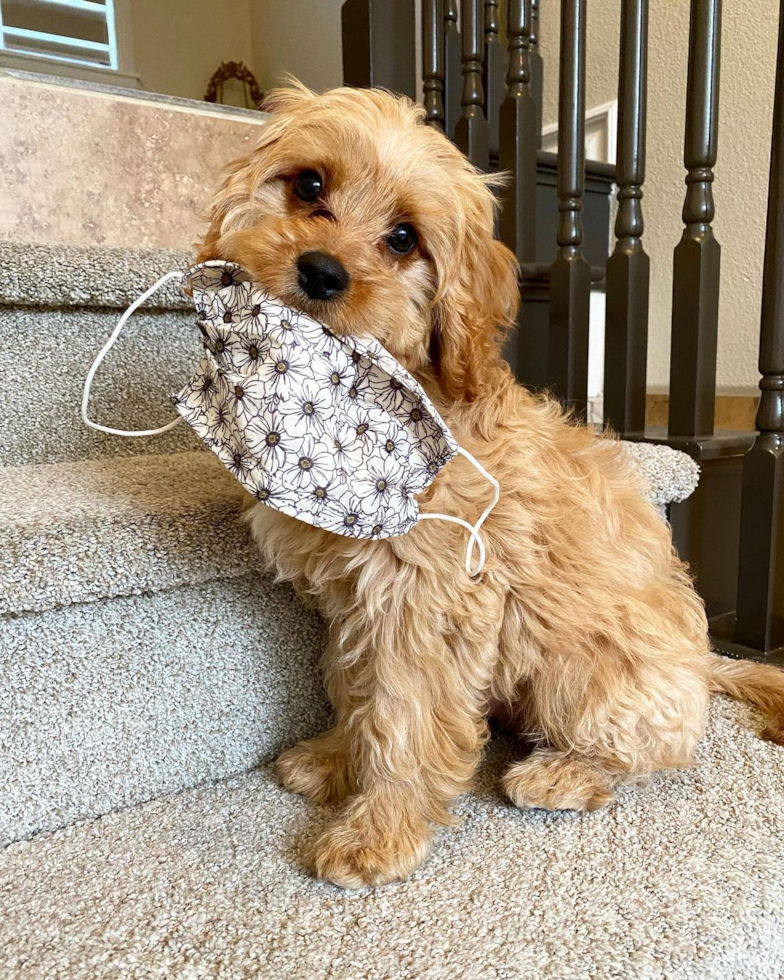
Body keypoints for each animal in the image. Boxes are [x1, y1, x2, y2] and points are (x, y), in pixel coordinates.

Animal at [198, 82, 784, 888]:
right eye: (309, 185)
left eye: (404, 238)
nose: (321, 272)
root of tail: (705, 664)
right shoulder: (358, 601)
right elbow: (356, 688)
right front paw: (338, 758)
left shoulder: (429, 601)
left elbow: (403, 715)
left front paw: (380, 828)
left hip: (593, 684)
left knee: (651, 755)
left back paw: (562, 773)